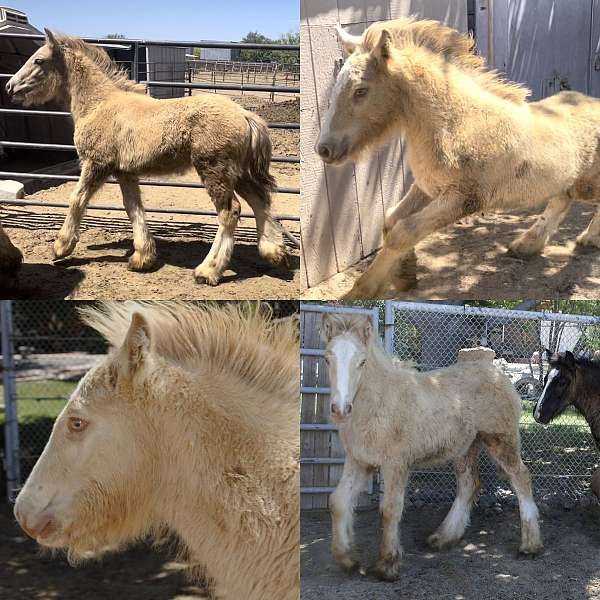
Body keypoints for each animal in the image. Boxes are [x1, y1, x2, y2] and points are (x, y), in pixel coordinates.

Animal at [5, 30, 288, 286]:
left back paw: (209, 270)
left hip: (214, 170)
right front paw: (143, 257)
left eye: (39, 60)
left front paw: (61, 247)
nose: (10, 86)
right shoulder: (124, 171)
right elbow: (133, 207)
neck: (99, 103)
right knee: (259, 200)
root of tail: (245, 114)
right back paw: (273, 252)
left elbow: (77, 199)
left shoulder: (97, 163)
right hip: (237, 173)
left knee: (230, 212)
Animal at [316, 17, 600, 298]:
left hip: (587, 185)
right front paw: (405, 275)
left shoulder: (461, 198)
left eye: (361, 90)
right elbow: (391, 220)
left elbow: (404, 231)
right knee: (560, 201)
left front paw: (362, 290)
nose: (324, 149)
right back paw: (526, 246)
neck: (458, 123)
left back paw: (588, 240)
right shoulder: (426, 187)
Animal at [324, 314, 544, 580]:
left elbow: (390, 509)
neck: (379, 402)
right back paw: (443, 537)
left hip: (502, 439)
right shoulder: (359, 460)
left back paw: (530, 545)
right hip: (465, 448)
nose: (340, 409)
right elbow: (338, 501)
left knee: (521, 478)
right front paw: (347, 559)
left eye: (362, 362)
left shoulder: (396, 464)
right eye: (327, 358)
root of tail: (497, 373)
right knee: (469, 484)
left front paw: (388, 564)